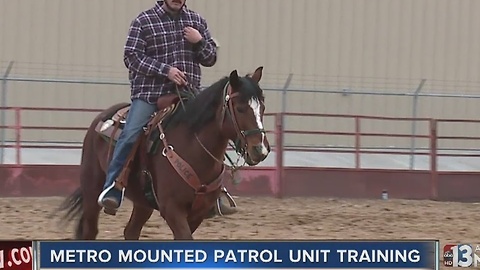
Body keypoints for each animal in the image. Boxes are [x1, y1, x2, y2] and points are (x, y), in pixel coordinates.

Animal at [56, 67, 270, 240]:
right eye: (240, 108)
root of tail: (101, 119)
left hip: (143, 202)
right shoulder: (172, 209)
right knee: (90, 231)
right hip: (92, 191)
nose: (260, 150)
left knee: (131, 232)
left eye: (263, 107)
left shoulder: (198, 213)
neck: (193, 149)